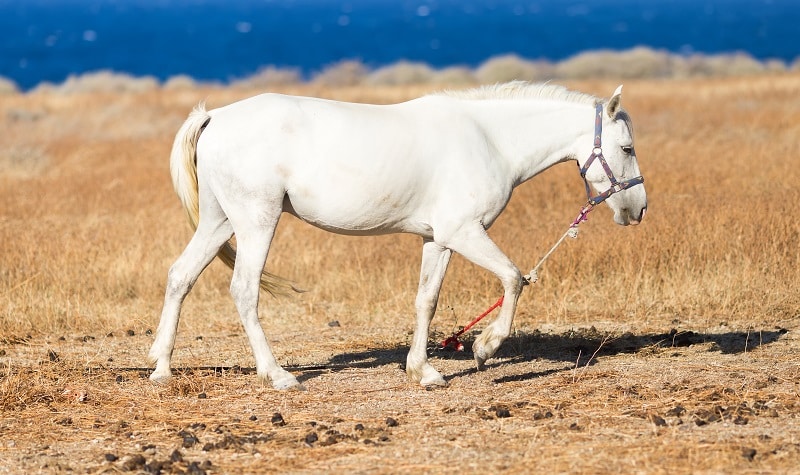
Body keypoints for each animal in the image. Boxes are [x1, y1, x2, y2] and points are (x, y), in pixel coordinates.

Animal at [150, 82, 648, 390]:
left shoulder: (439, 240)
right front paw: (484, 348)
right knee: (243, 290)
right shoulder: (464, 232)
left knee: (180, 276)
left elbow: (426, 300)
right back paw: (278, 375)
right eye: (626, 148)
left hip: (219, 222)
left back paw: (161, 367)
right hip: (257, 220)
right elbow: (513, 278)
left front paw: (423, 371)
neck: (489, 139)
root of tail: (215, 117)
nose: (638, 209)